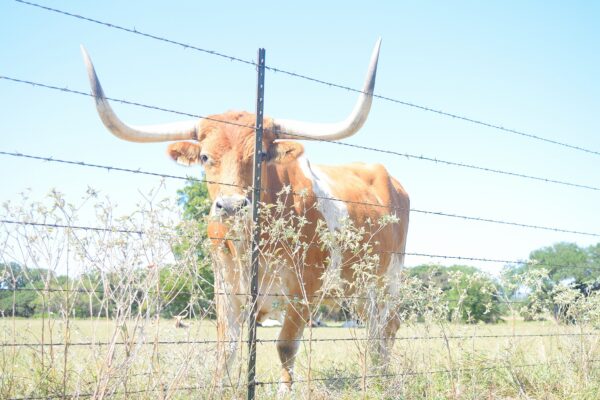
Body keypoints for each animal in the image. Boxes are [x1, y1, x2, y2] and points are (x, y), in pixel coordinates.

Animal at [81, 40, 408, 390]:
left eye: (261, 155)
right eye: (205, 157)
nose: (231, 205)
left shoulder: (303, 292)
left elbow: (285, 347)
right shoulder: (226, 291)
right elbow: (226, 351)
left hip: (387, 281)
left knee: (385, 329)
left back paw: (381, 378)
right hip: (360, 291)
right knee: (375, 330)